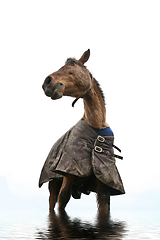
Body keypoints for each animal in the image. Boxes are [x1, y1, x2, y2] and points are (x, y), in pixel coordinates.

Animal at [40, 49, 125, 215]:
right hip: (53, 183)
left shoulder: (104, 182)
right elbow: (62, 200)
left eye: (72, 63)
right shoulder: (68, 174)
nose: (47, 82)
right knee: (52, 203)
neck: (96, 125)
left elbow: (104, 207)